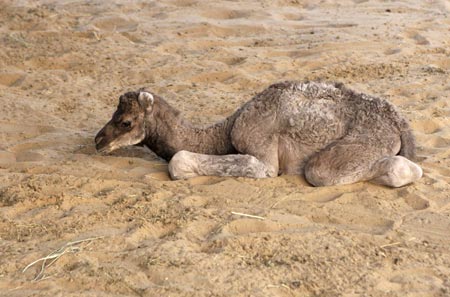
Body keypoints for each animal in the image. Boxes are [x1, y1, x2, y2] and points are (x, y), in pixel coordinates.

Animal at [94, 81, 422, 186]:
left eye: (125, 122)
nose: (98, 141)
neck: (223, 131)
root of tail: (397, 120)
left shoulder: (260, 152)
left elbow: (179, 159)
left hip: (366, 139)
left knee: (321, 170)